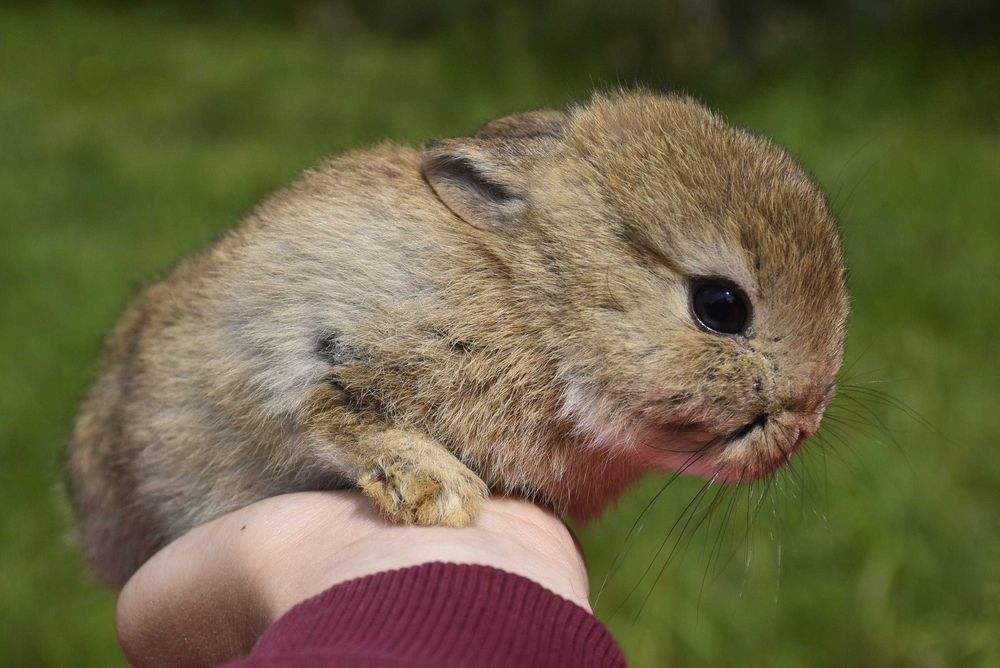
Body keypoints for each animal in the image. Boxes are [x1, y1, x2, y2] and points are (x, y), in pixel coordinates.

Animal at [64, 91, 844, 588]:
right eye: (720, 306)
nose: (804, 421)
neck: (537, 304)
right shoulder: (314, 353)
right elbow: (326, 408)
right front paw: (438, 492)